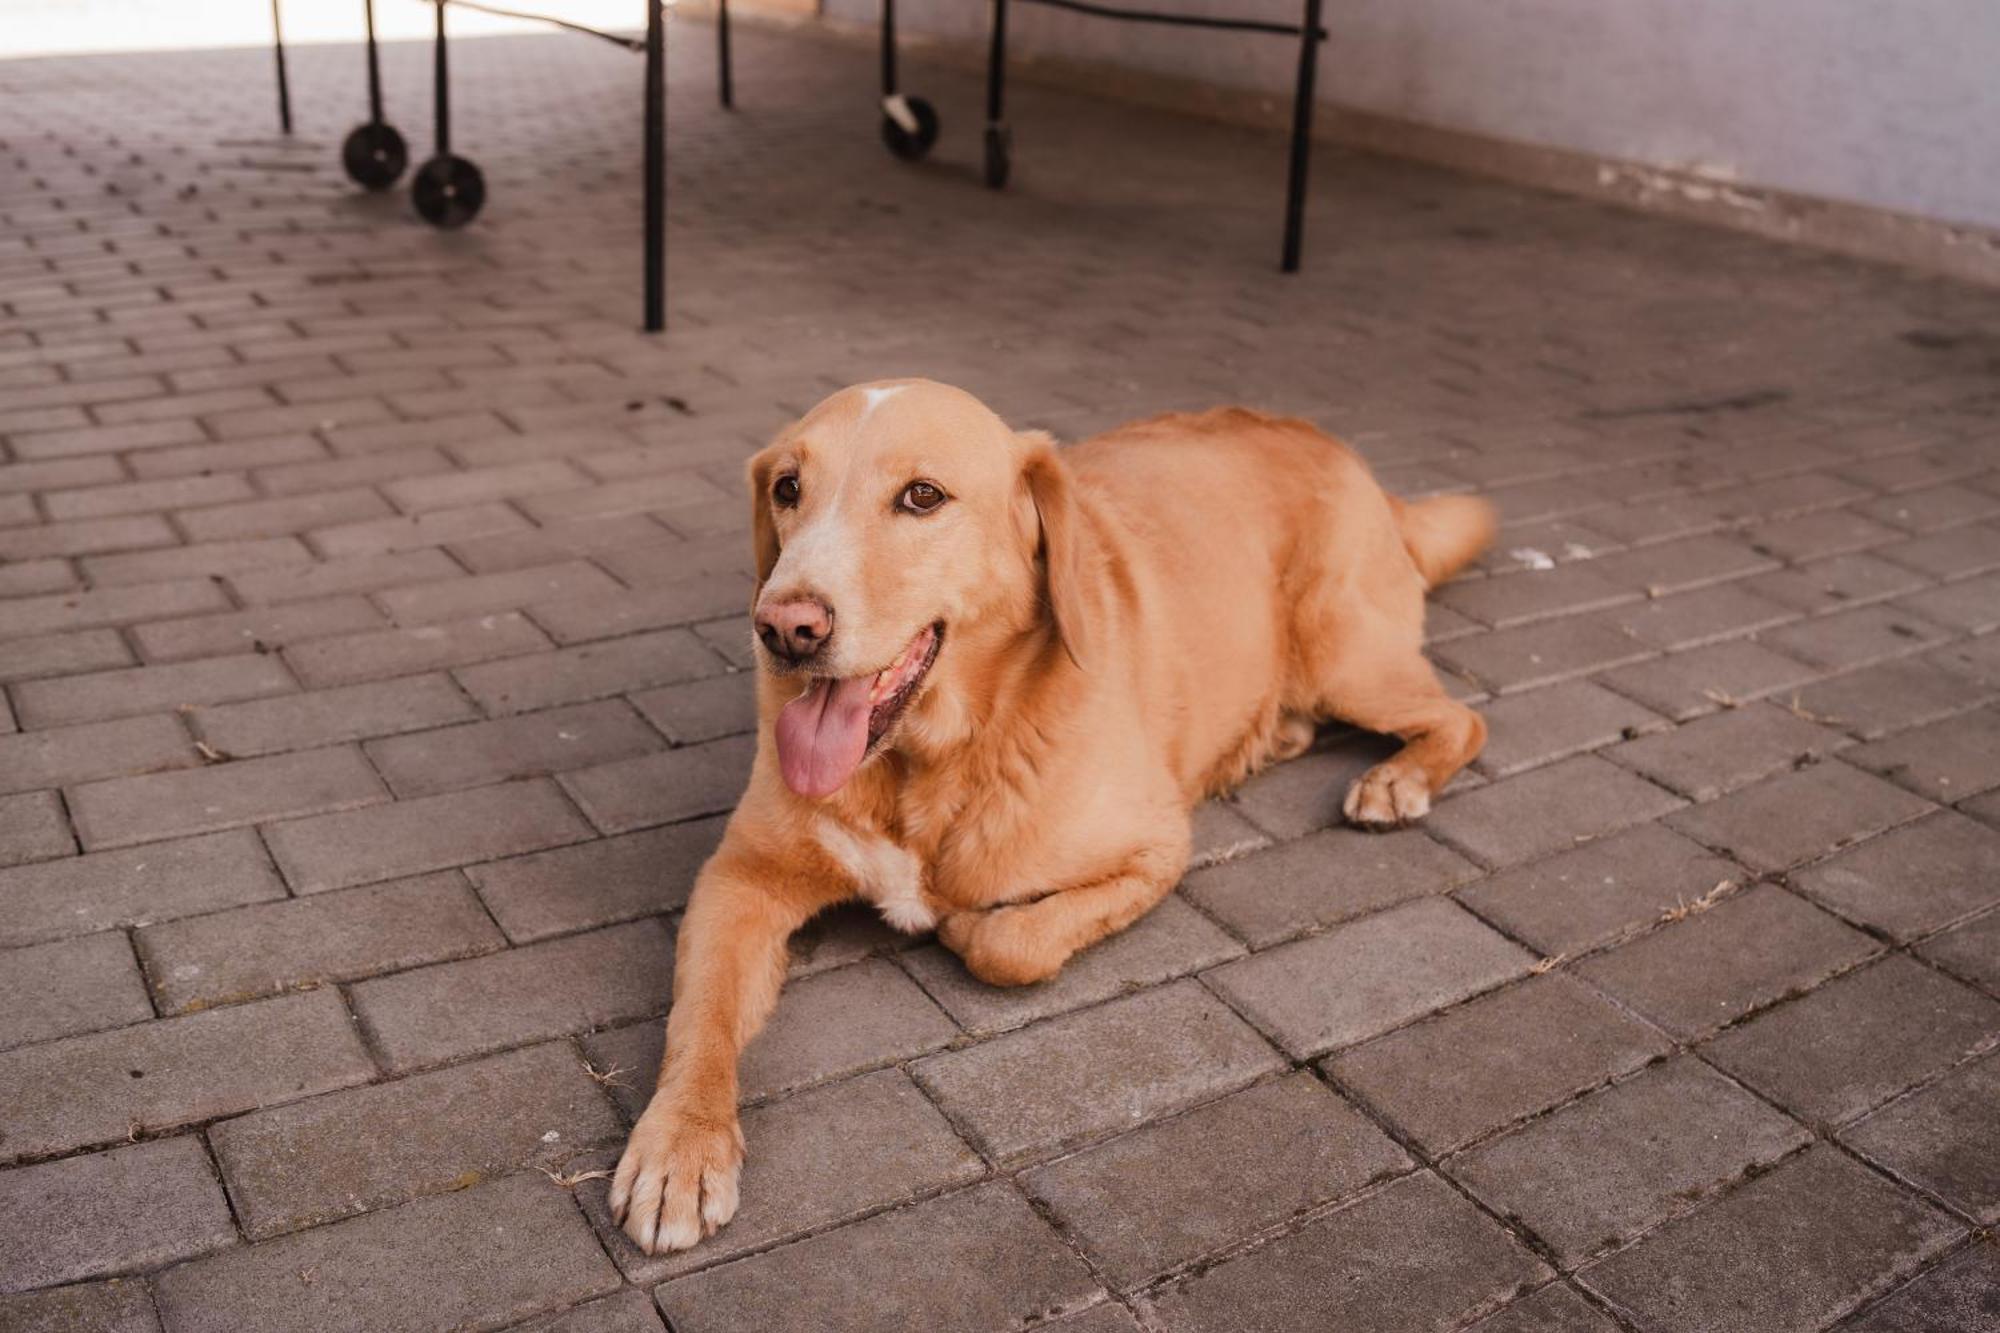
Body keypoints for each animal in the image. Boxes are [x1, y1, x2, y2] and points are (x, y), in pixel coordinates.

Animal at [608, 374, 1504, 1248]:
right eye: (788, 488)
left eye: (923, 496)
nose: (784, 627)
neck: (925, 761)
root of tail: (1343, 453)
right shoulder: (740, 877)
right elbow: (700, 1015)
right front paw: (679, 1146)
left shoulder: (1157, 845)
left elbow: (1007, 942)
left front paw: (962, 923)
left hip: (1341, 651)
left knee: (1462, 717)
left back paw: (1396, 779)